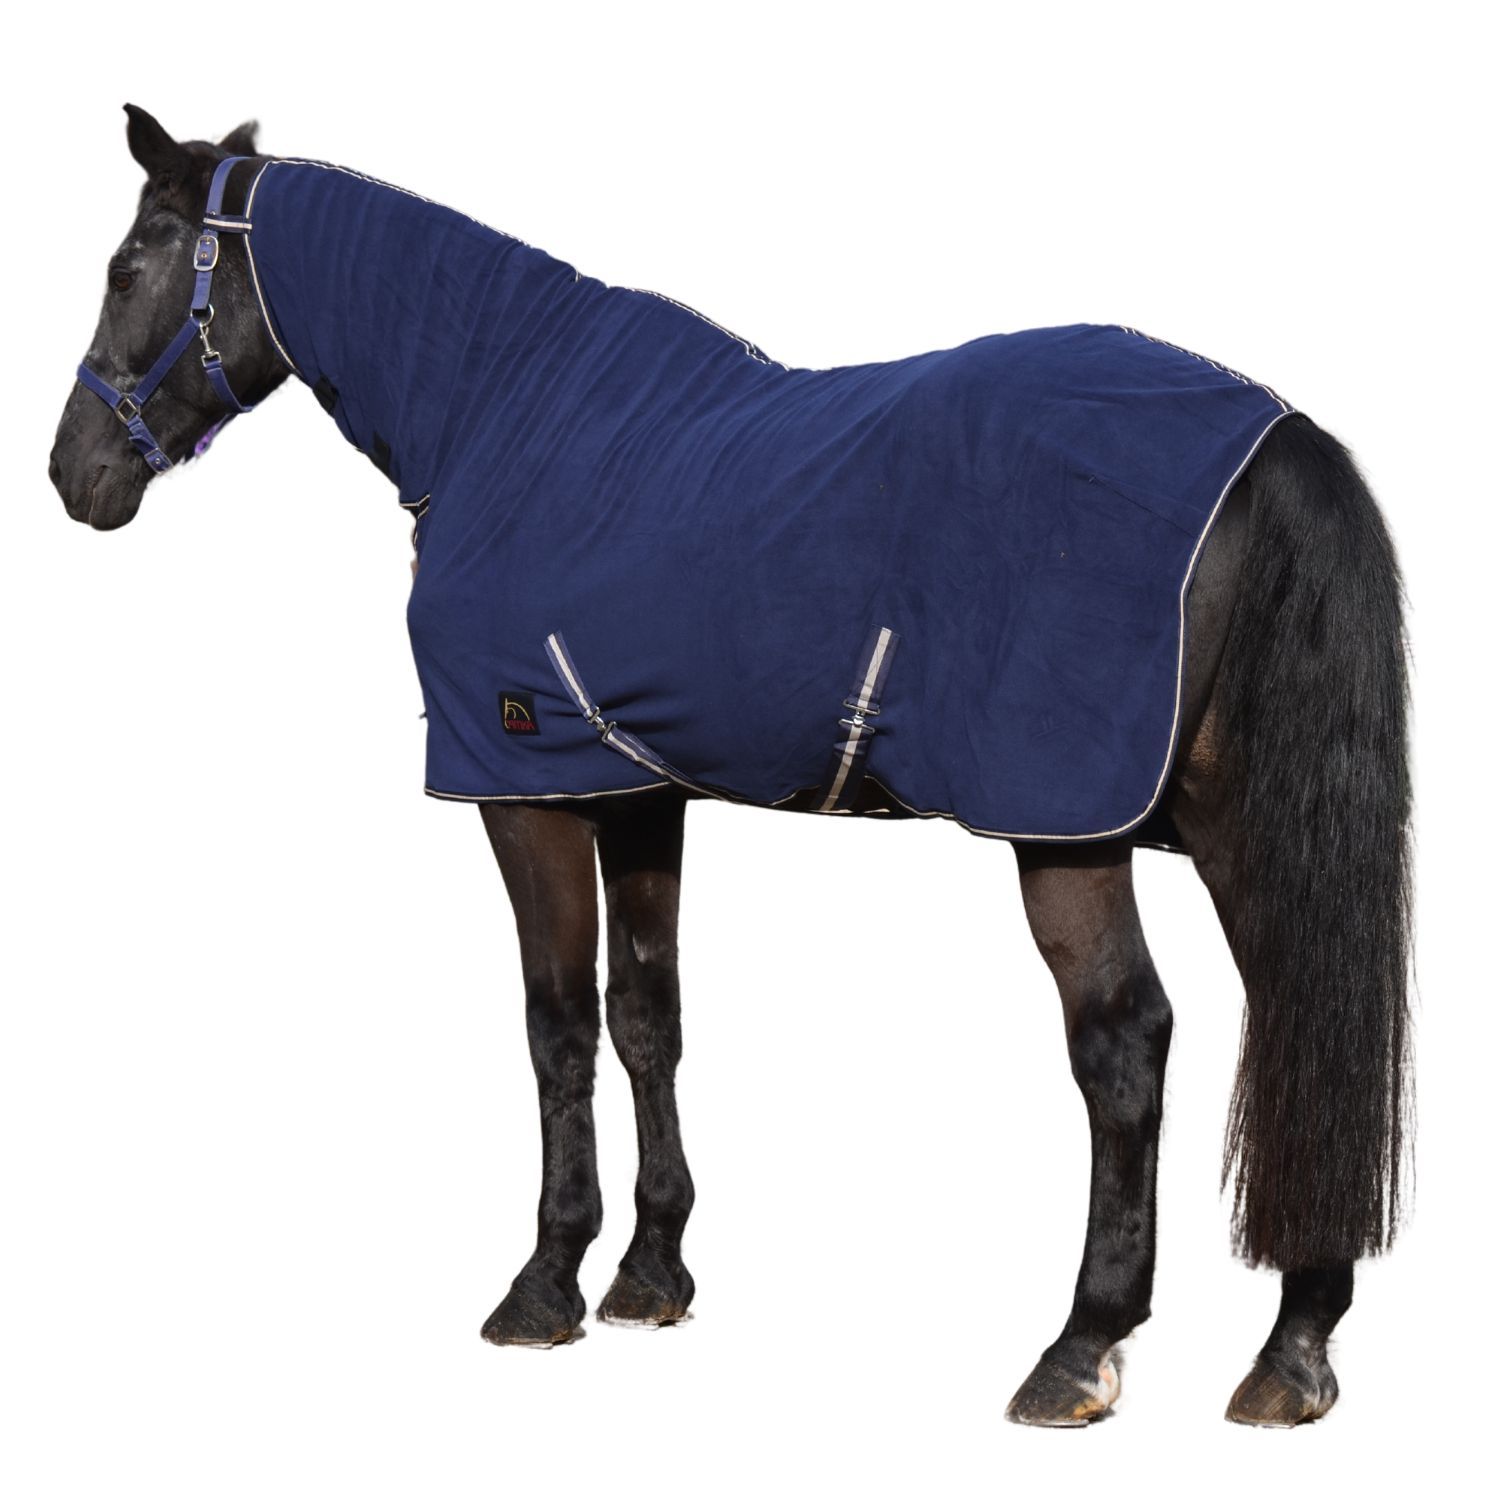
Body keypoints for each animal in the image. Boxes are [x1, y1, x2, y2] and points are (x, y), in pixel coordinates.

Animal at [47, 106, 1411, 1428]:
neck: (508, 417)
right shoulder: (633, 787)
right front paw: (651, 1274)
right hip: (1240, 824)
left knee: (1124, 1044)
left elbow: (557, 1025)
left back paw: (1079, 1348)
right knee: (1297, 1020)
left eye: (127, 267)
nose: (74, 475)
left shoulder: (518, 788)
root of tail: (1271, 436)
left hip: (1065, 830)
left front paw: (544, 1284)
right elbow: (648, 1017)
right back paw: (1291, 1352)